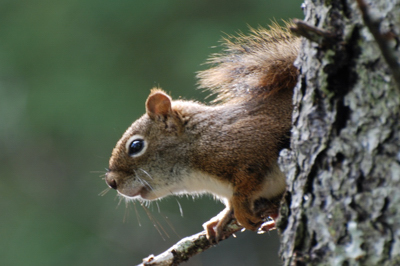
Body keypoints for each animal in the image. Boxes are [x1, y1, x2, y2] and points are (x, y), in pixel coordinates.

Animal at [104, 22, 298, 241]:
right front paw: (223, 216)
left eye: (136, 146)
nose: (111, 182)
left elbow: (245, 184)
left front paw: (239, 208)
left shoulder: (253, 141)